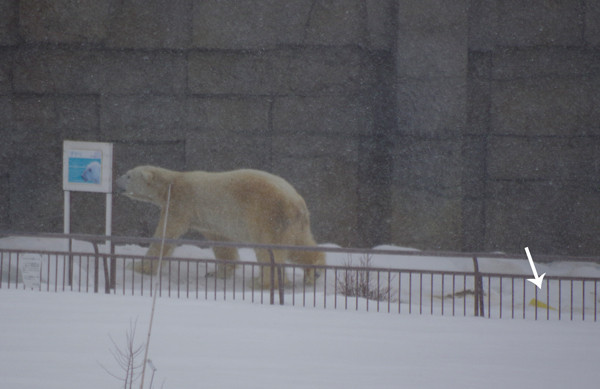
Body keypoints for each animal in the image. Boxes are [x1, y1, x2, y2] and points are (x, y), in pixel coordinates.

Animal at [115, 165, 326, 286]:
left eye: (128, 175)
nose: (117, 181)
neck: (171, 183)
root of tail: (296, 201)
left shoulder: (180, 204)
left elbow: (165, 235)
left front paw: (136, 266)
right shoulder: (210, 220)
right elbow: (222, 244)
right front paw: (217, 272)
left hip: (266, 215)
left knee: (269, 249)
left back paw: (262, 282)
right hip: (292, 223)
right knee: (299, 244)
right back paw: (314, 271)